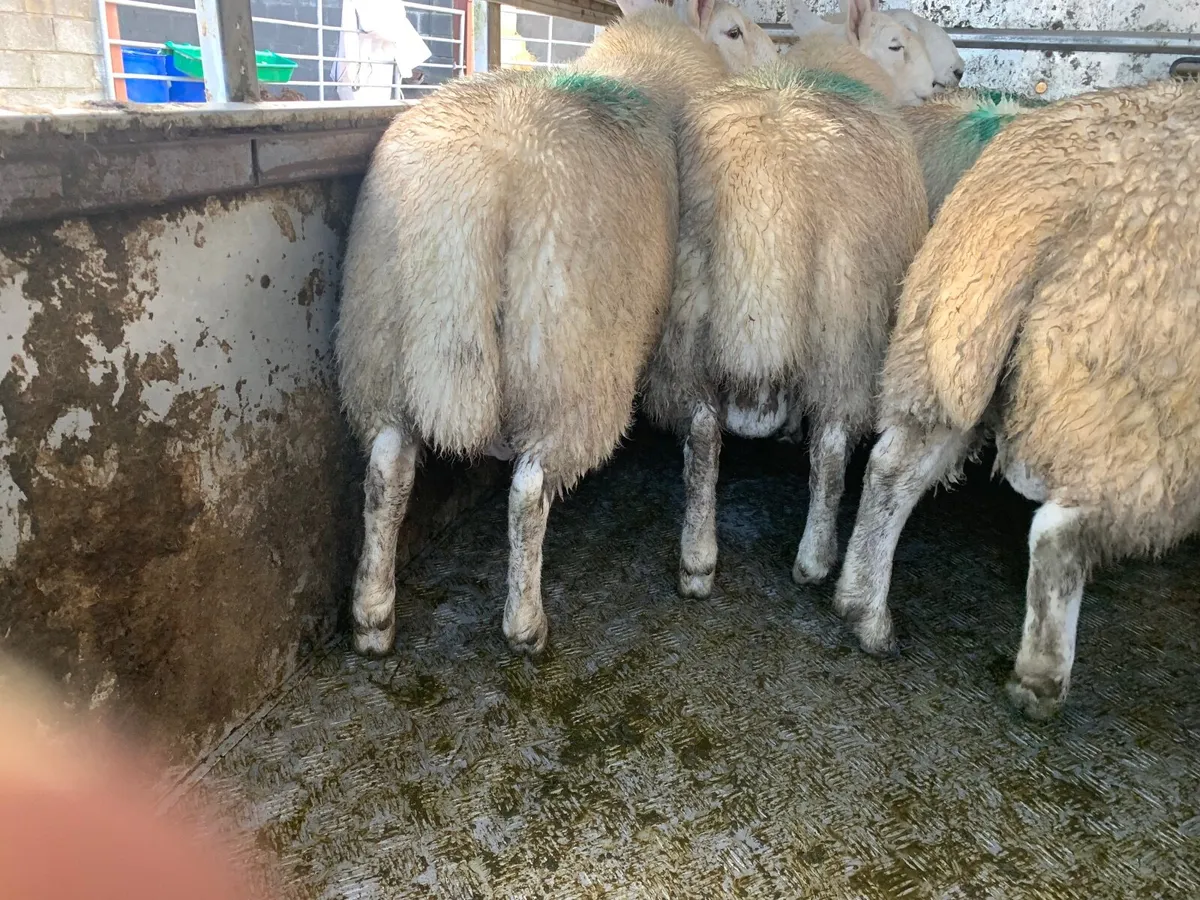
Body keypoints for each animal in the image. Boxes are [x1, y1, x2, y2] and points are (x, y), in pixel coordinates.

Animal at [336, 0, 777, 658]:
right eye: (735, 29)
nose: (778, 61)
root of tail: (476, 183)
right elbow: (703, 433)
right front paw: (699, 560)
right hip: (567, 352)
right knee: (530, 489)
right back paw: (525, 625)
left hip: (378, 335)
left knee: (386, 471)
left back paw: (373, 616)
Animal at [831, 78, 1200, 719]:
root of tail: (1032, 202)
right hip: (1132, 410)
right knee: (1059, 535)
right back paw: (1040, 680)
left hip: (949, 338)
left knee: (893, 468)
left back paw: (865, 612)